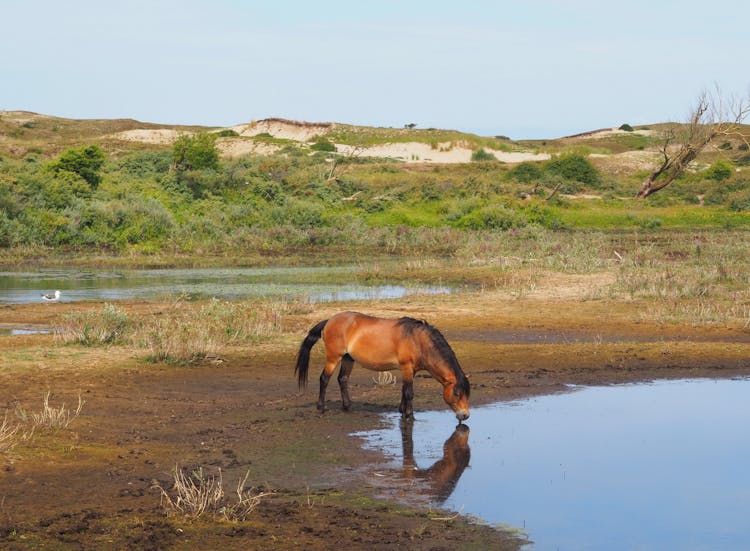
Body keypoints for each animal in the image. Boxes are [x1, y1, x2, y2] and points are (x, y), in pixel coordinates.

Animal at [294, 310, 470, 422]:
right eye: (457, 393)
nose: (465, 416)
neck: (418, 340)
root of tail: (329, 321)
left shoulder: (410, 371)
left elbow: (404, 390)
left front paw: (402, 411)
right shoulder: (407, 367)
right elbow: (410, 393)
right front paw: (410, 415)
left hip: (348, 358)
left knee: (342, 379)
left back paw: (347, 406)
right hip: (333, 357)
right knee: (324, 379)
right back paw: (321, 407)